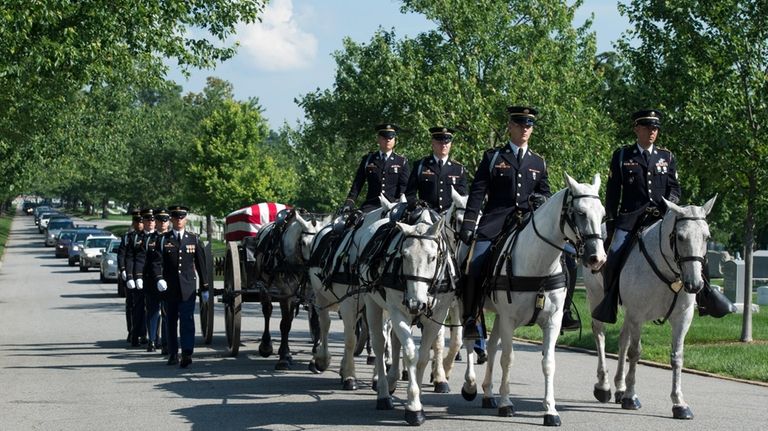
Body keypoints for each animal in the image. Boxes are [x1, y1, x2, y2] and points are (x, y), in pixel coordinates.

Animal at [306, 196, 402, 392]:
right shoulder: (349, 303)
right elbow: (350, 338)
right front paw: (350, 376)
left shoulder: (380, 306)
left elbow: (379, 338)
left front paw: (377, 378)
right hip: (321, 295)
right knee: (324, 324)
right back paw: (322, 359)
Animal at [474, 174, 608, 426]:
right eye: (580, 212)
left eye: (603, 214)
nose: (598, 258)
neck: (539, 266)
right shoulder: (509, 320)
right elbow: (508, 358)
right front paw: (506, 403)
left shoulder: (552, 321)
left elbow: (548, 364)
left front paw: (550, 410)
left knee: (492, 345)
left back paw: (487, 393)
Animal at [584, 197, 716, 420]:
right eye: (680, 237)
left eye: (707, 237)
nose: (695, 284)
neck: (667, 271)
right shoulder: (637, 315)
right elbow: (635, 352)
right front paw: (631, 397)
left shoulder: (682, 318)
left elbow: (677, 357)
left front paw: (679, 403)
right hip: (597, 297)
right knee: (600, 335)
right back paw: (604, 386)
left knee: (622, 340)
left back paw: (619, 387)